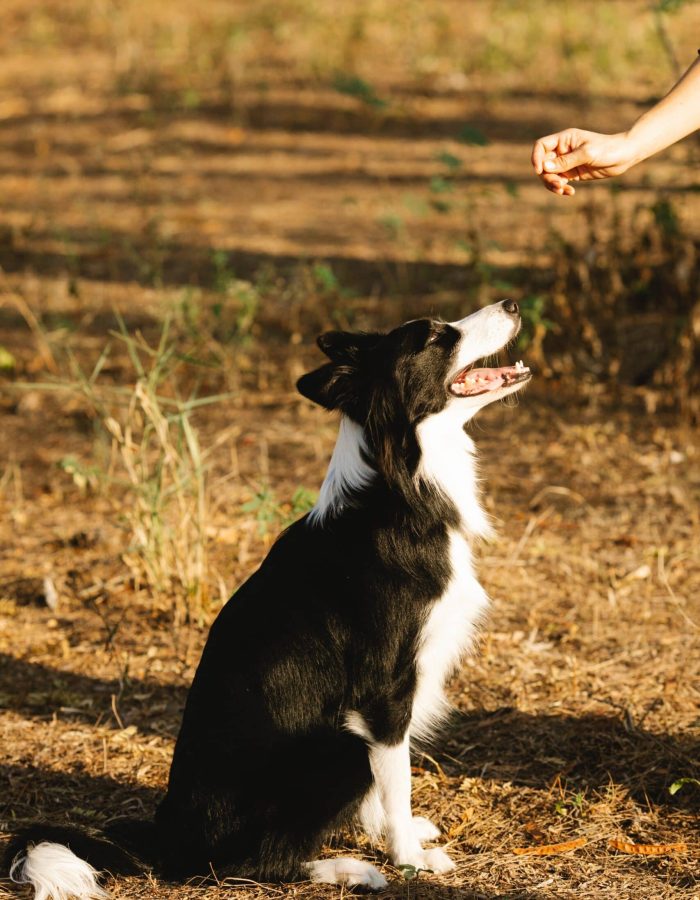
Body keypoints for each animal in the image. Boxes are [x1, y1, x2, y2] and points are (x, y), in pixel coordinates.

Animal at [5, 300, 532, 892]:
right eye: (436, 337)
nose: (511, 303)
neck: (402, 488)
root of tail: (170, 840)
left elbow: (381, 790)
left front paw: (394, 838)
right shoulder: (384, 692)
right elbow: (394, 782)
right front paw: (407, 858)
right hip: (339, 750)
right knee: (248, 865)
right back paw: (346, 868)